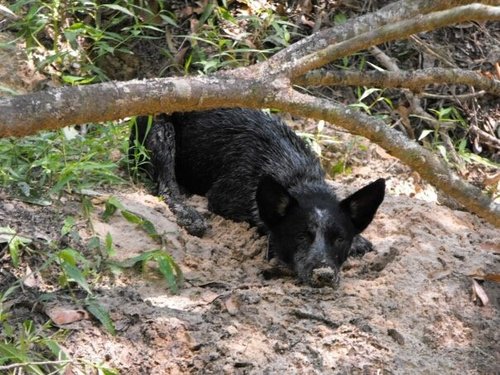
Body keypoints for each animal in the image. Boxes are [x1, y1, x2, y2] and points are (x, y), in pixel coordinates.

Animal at [128, 108, 382, 288]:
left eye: (339, 239)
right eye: (300, 236)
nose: (324, 275)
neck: (295, 174)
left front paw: (359, 241)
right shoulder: (224, 197)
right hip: (161, 130)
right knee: (166, 186)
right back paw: (189, 213)